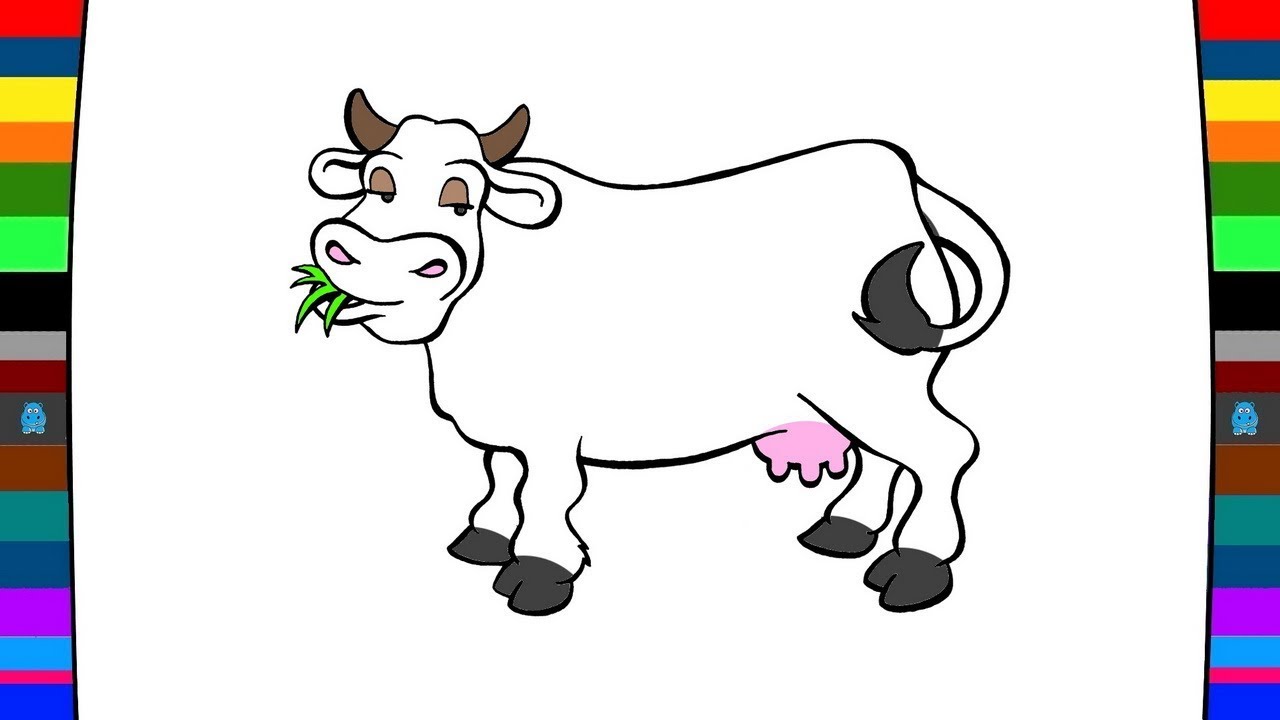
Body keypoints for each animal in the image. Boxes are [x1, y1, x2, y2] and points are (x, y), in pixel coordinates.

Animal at [302, 89, 1010, 616]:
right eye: (377, 182)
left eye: (462, 198)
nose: (375, 257)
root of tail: (902, 176)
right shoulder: (505, 422)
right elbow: (501, 474)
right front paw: (486, 537)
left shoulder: (553, 428)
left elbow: (548, 494)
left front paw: (539, 571)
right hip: (864, 386)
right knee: (887, 455)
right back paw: (844, 529)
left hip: (871, 379)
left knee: (943, 449)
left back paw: (915, 568)